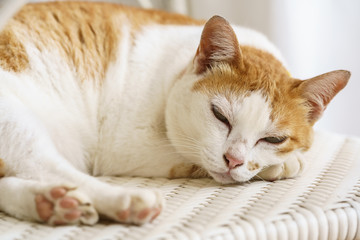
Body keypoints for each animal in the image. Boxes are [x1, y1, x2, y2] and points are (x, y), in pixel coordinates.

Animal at [0, 1, 350, 227]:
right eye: (219, 115)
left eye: (273, 138)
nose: (233, 160)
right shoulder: (124, 145)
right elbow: (190, 158)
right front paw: (281, 165)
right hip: (17, 123)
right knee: (48, 166)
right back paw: (126, 201)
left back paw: (52, 204)